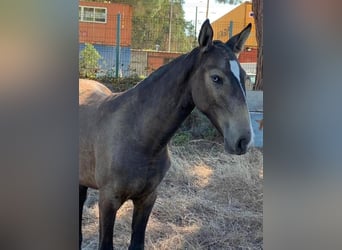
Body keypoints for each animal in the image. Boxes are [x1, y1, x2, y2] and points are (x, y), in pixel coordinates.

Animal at [79, 20, 252, 250]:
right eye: (216, 78)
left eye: (244, 78)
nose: (244, 140)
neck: (139, 136)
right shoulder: (108, 201)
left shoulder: (147, 198)